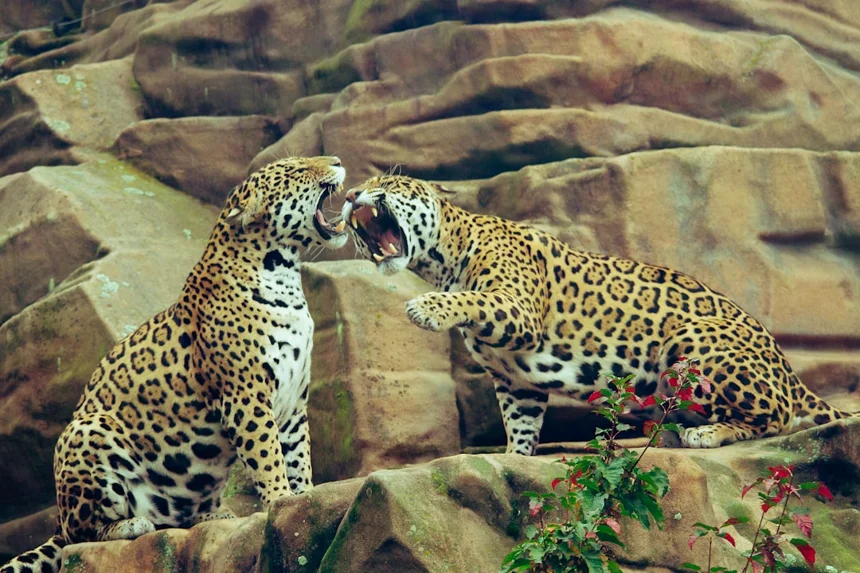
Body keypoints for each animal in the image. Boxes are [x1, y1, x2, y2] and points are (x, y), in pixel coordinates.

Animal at [1, 156, 349, 573]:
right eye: (297, 172)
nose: (337, 161)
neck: (284, 276)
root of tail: (56, 517)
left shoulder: (294, 402)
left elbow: (298, 457)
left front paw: (304, 501)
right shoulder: (246, 397)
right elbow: (268, 458)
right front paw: (279, 501)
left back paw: (215, 515)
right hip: (87, 432)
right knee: (79, 535)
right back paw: (132, 524)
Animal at [341, 173, 855, 456]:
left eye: (386, 184)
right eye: (360, 188)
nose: (349, 195)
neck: (442, 261)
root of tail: (790, 371)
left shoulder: (518, 306)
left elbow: (473, 300)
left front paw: (426, 308)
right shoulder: (515, 379)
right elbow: (521, 422)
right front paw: (513, 458)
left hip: (692, 339)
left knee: (776, 417)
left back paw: (706, 433)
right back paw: (674, 433)